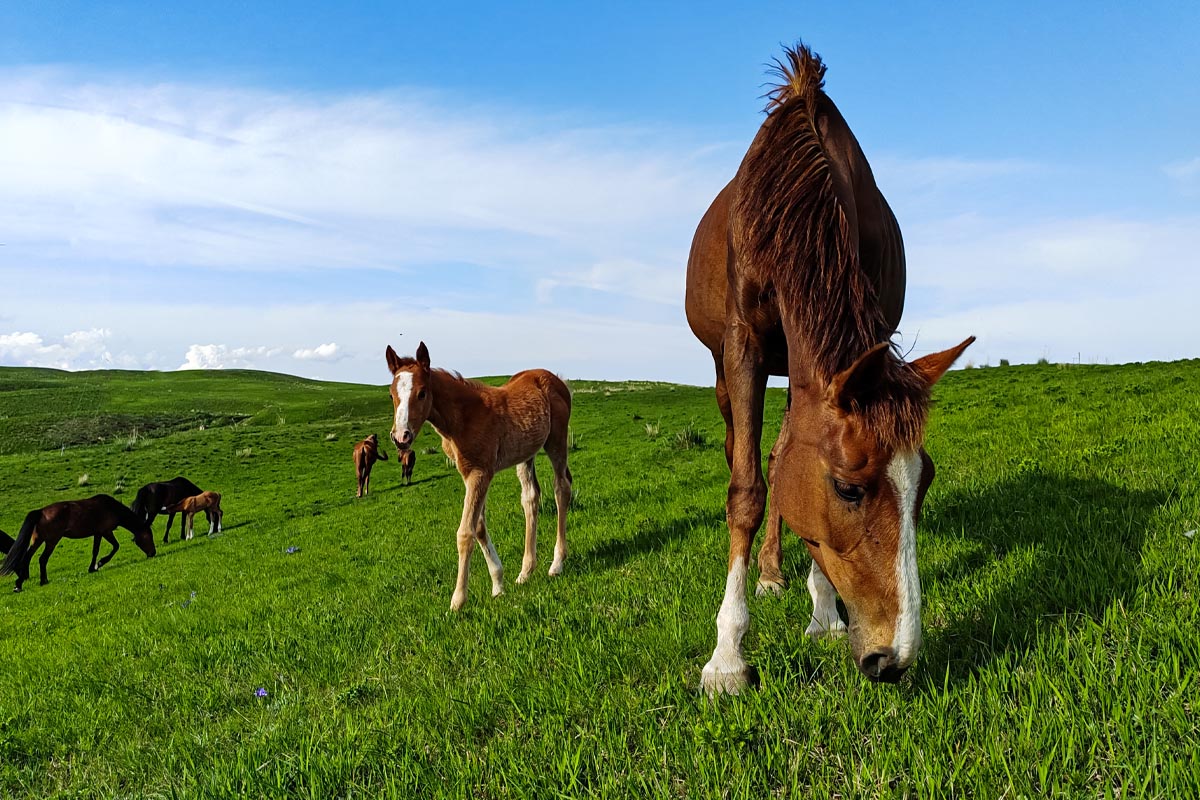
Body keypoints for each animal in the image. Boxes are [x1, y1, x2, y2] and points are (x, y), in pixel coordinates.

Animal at [384, 340, 571, 609]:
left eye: (422, 393)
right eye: (391, 394)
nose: (401, 437)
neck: (463, 418)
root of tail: (555, 379)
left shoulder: (480, 473)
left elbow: (465, 532)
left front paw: (458, 600)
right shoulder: (467, 473)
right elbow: (480, 526)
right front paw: (498, 585)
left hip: (556, 441)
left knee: (561, 489)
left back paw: (556, 564)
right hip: (526, 455)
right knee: (531, 498)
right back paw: (525, 572)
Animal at [686, 45, 974, 695]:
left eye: (925, 481)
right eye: (848, 487)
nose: (894, 658)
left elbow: (788, 465)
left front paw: (823, 614)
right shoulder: (744, 346)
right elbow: (746, 489)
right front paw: (727, 656)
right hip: (723, 370)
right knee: (741, 451)